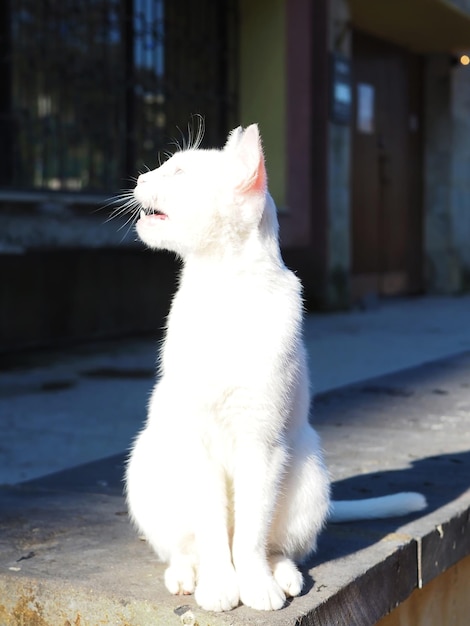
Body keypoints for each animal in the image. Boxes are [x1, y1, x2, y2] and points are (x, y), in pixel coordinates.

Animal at [125, 123, 426, 608]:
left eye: (179, 171)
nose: (139, 176)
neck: (223, 288)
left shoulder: (262, 444)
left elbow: (249, 534)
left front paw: (256, 585)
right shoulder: (200, 443)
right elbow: (213, 532)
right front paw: (219, 585)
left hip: (307, 467)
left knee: (277, 544)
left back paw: (281, 574)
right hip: (149, 465)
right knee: (183, 545)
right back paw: (186, 574)